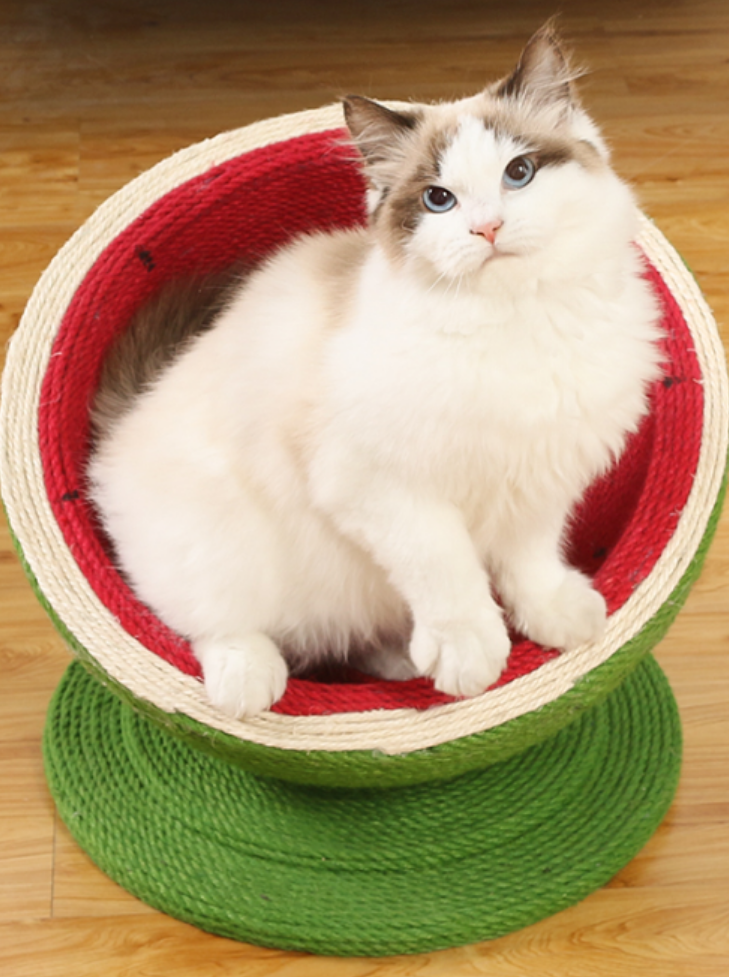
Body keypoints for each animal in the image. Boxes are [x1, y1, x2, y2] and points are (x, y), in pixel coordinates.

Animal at [88, 24, 664, 716]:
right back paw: (251, 683)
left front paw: (553, 617)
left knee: (353, 639)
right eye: (438, 200)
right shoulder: (384, 488)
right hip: (222, 545)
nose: (488, 228)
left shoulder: (540, 477)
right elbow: (446, 569)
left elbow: (529, 560)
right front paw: (471, 654)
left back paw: (399, 660)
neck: (517, 320)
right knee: (211, 623)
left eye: (518, 173)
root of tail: (123, 422)